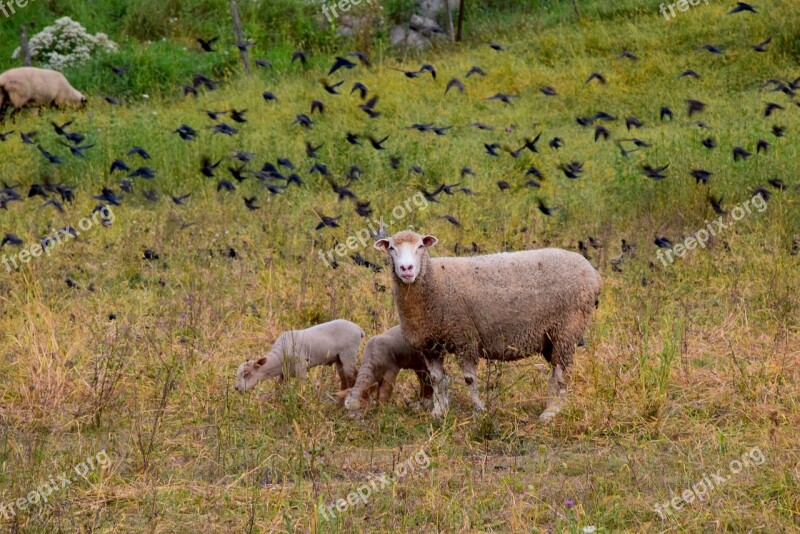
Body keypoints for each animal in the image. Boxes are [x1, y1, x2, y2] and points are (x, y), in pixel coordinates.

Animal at [234, 320, 366, 396]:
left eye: (247, 374)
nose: (236, 388)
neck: (279, 357)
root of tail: (358, 329)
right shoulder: (284, 373)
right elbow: (278, 388)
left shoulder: (301, 368)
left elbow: (301, 387)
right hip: (339, 358)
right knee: (343, 376)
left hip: (349, 352)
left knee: (351, 376)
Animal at [376, 230, 600, 422]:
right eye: (392, 248)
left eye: (421, 246)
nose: (406, 269)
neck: (433, 282)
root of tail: (593, 273)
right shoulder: (430, 346)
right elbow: (437, 380)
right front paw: (438, 413)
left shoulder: (464, 338)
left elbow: (469, 379)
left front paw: (479, 410)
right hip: (552, 338)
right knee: (558, 370)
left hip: (567, 328)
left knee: (562, 372)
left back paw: (551, 412)